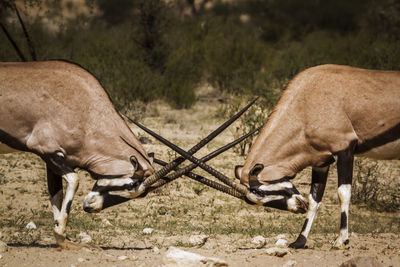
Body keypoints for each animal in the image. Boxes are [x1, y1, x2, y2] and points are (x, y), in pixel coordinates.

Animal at [0, 60, 155, 249]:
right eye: (132, 184)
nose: (91, 207)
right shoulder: (47, 151)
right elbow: (75, 180)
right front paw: (61, 232)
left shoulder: (55, 161)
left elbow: (56, 194)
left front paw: (62, 240)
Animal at [236, 64, 400, 249]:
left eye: (259, 192)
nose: (299, 206)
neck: (305, 104)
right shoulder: (321, 161)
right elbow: (315, 198)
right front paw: (299, 241)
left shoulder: (344, 149)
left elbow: (343, 193)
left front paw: (341, 240)